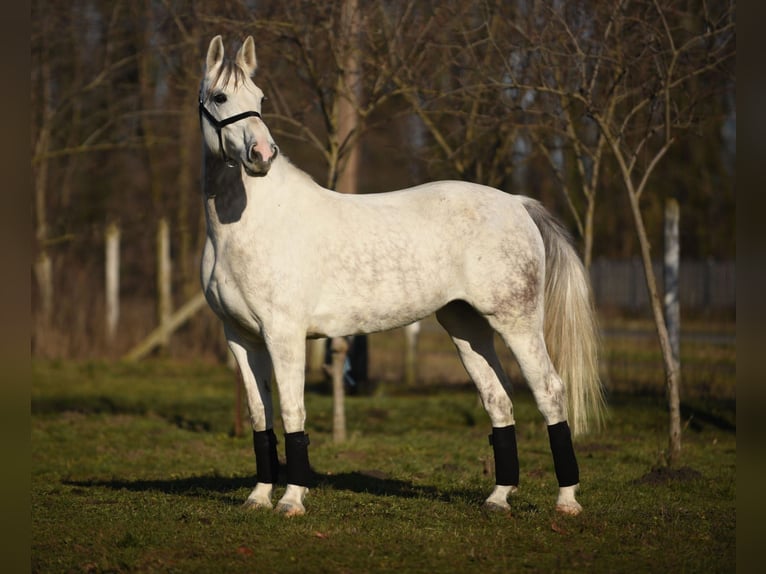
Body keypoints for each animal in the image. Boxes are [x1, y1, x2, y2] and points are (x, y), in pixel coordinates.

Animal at [198, 38, 608, 520]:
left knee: (549, 391)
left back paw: (567, 501)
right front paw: (259, 496)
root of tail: (516, 202)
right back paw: (498, 497)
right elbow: (261, 416)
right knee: (498, 399)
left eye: (260, 98)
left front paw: (292, 500)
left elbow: (293, 411)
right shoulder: (241, 338)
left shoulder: (284, 334)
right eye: (220, 97)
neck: (252, 223)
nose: (261, 156)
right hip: (466, 327)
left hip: (517, 323)